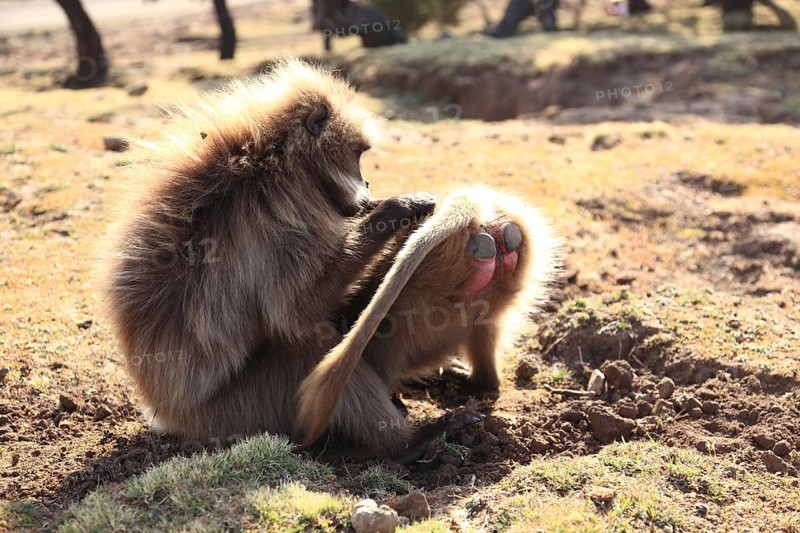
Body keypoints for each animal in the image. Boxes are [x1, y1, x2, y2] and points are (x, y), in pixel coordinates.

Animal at [101, 59, 560, 461]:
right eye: (357, 156)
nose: (368, 184)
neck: (272, 157)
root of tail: (168, 415)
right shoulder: (279, 216)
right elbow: (296, 312)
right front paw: (398, 210)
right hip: (240, 410)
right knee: (307, 346)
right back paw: (408, 444)